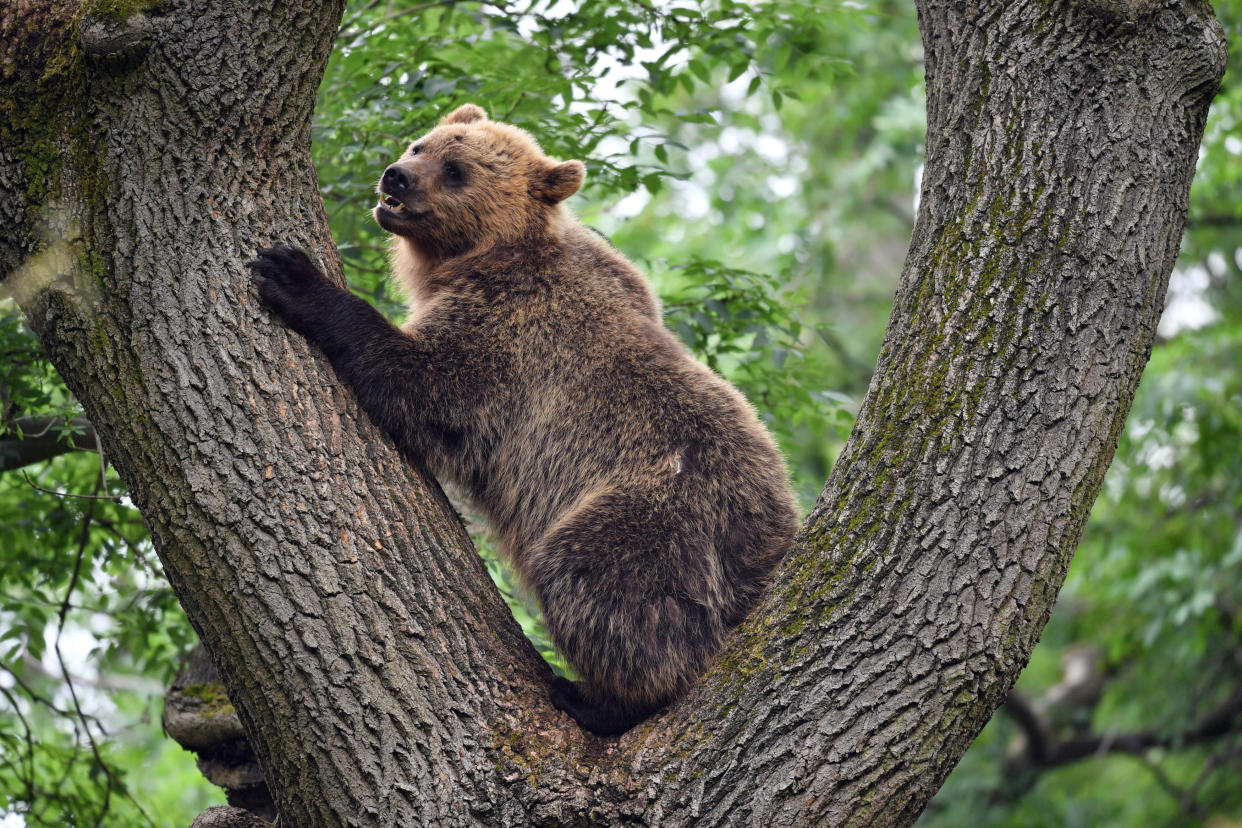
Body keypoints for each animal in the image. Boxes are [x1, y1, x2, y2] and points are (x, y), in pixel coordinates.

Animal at [247, 105, 799, 739]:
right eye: (422, 144)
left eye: (455, 170)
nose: (396, 177)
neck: (477, 256)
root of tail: (766, 540)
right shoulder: (613, 273)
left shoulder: (511, 332)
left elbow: (430, 388)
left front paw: (292, 275)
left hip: (657, 510)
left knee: (602, 585)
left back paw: (594, 697)